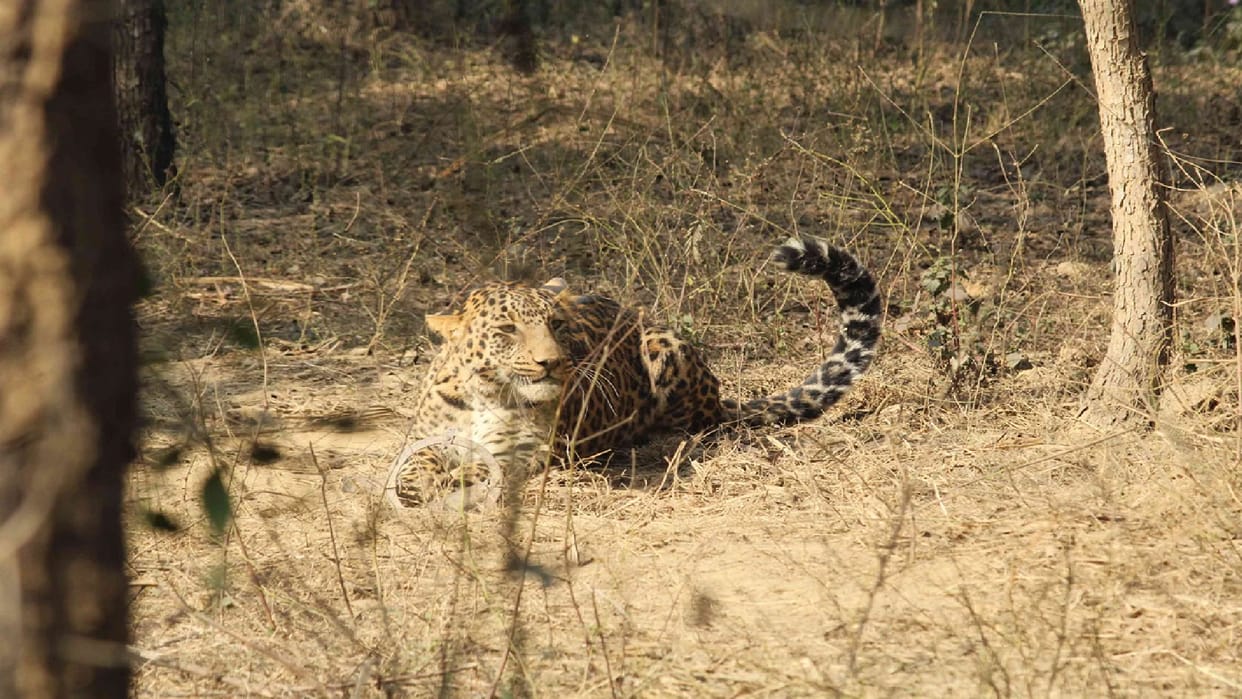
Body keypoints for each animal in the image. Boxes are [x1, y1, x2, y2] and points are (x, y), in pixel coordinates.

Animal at [394, 236, 881, 509]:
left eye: (556, 324)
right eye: (507, 330)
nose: (551, 362)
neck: (488, 394)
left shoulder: (526, 453)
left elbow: (482, 467)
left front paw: (450, 482)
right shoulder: (428, 436)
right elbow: (417, 460)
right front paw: (416, 482)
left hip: (664, 346)